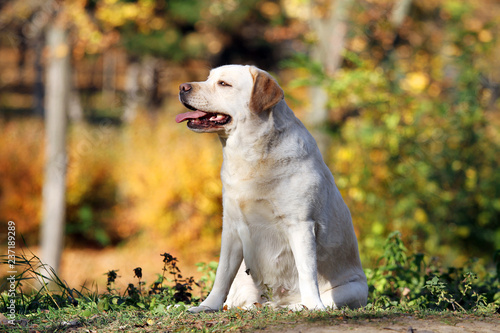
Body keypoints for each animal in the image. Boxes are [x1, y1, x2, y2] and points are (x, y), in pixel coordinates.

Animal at [176, 64, 368, 312]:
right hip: (243, 279)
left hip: (353, 290)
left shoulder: (301, 225)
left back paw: (299, 307)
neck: (251, 156)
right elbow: (221, 274)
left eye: (223, 84)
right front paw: (207, 306)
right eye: (209, 78)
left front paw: (314, 308)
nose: (182, 87)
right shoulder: (231, 226)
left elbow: (307, 272)